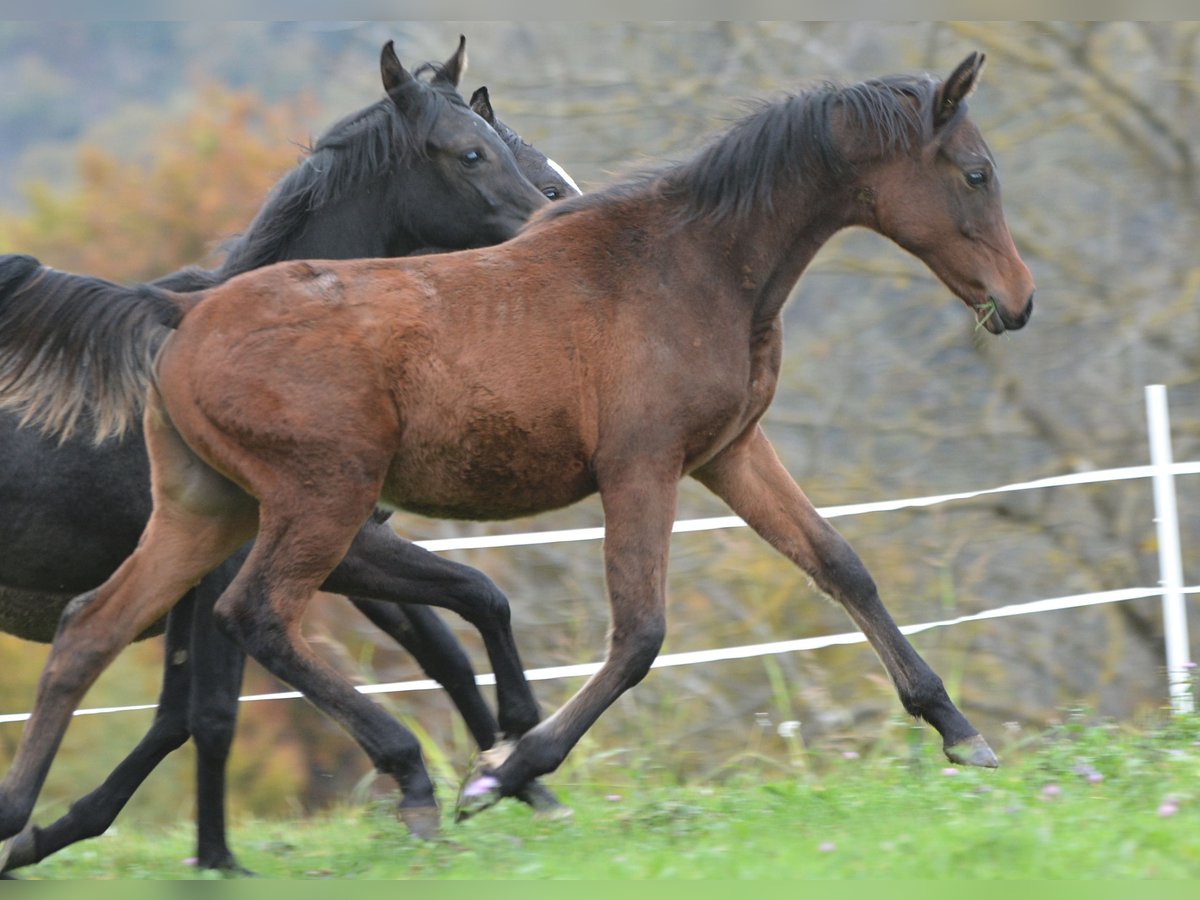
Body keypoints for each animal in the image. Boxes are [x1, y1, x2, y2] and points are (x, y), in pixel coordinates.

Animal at [0, 38, 576, 878]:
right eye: (474, 153)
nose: (551, 229)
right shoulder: (264, 559)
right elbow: (207, 712)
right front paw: (214, 860)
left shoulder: (335, 546)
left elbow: (457, 627)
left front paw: (516, 778)